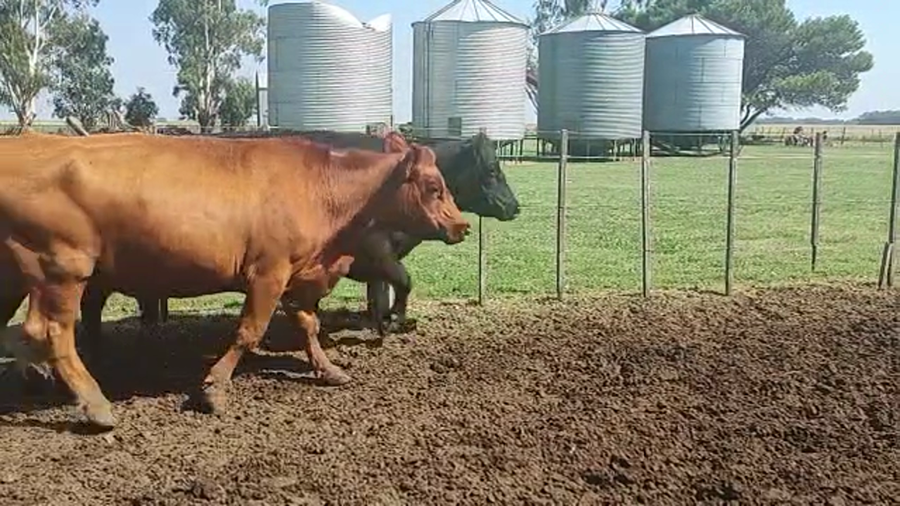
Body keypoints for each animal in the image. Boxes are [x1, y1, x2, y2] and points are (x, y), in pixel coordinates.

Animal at [0, 130, 468, 429]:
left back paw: (39, 377)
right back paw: (94, 405)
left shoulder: (296, 276)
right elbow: (249, 331)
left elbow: (308, 325)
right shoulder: (268, 272)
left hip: (18, 274)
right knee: (52, 332)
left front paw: (329, 369)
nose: (462, 225)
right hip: (64, 268)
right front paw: (214, 390)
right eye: (434, 187)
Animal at [72, 129, 520, 339]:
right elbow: (404, 282)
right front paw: (397, 321)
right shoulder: (378, 252)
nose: (515, 207)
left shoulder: (372, 260)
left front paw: (383, 323)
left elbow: (380, 294)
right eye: (492, 170)